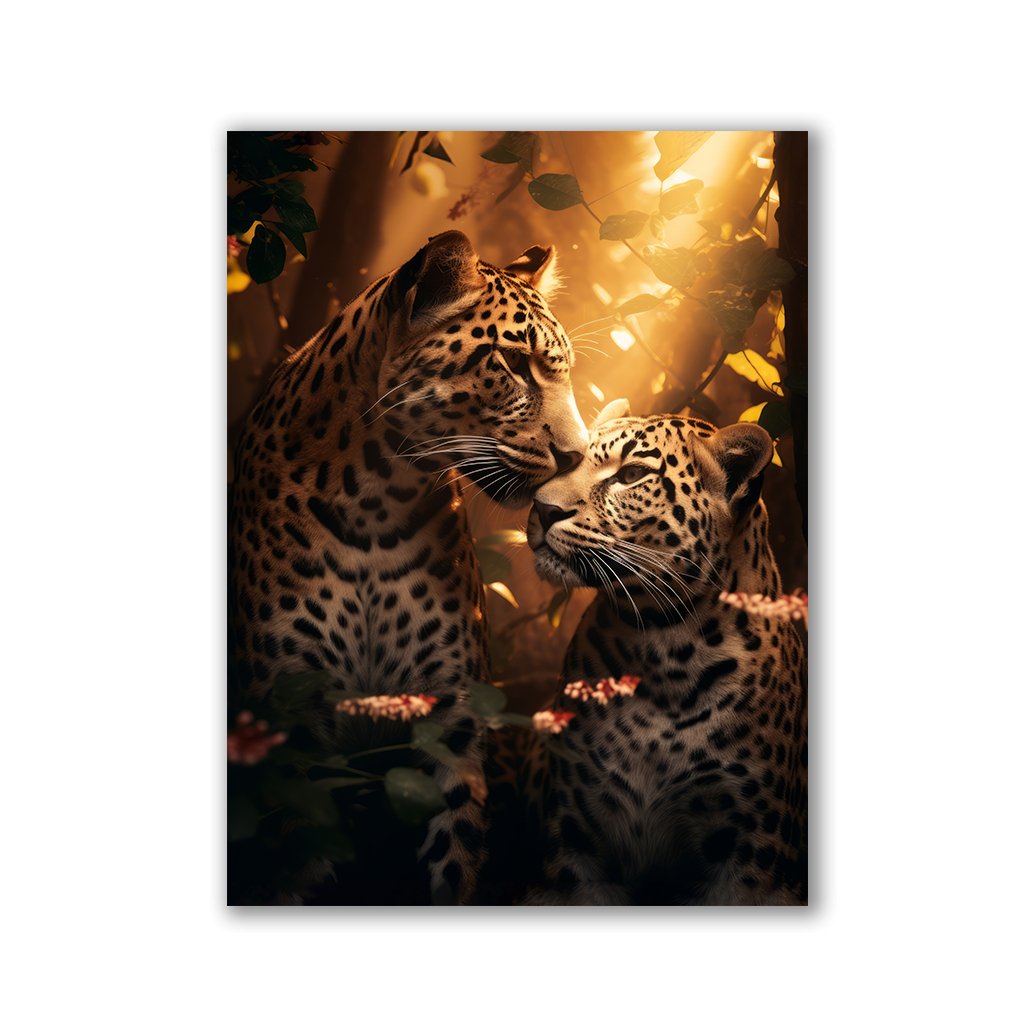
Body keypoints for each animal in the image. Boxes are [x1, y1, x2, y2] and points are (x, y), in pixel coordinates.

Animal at [521, 399, 807, 905]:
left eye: (632, 474)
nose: (542, 507)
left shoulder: (753, 858)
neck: (666, 649)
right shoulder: (574, 847)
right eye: (570, 459)